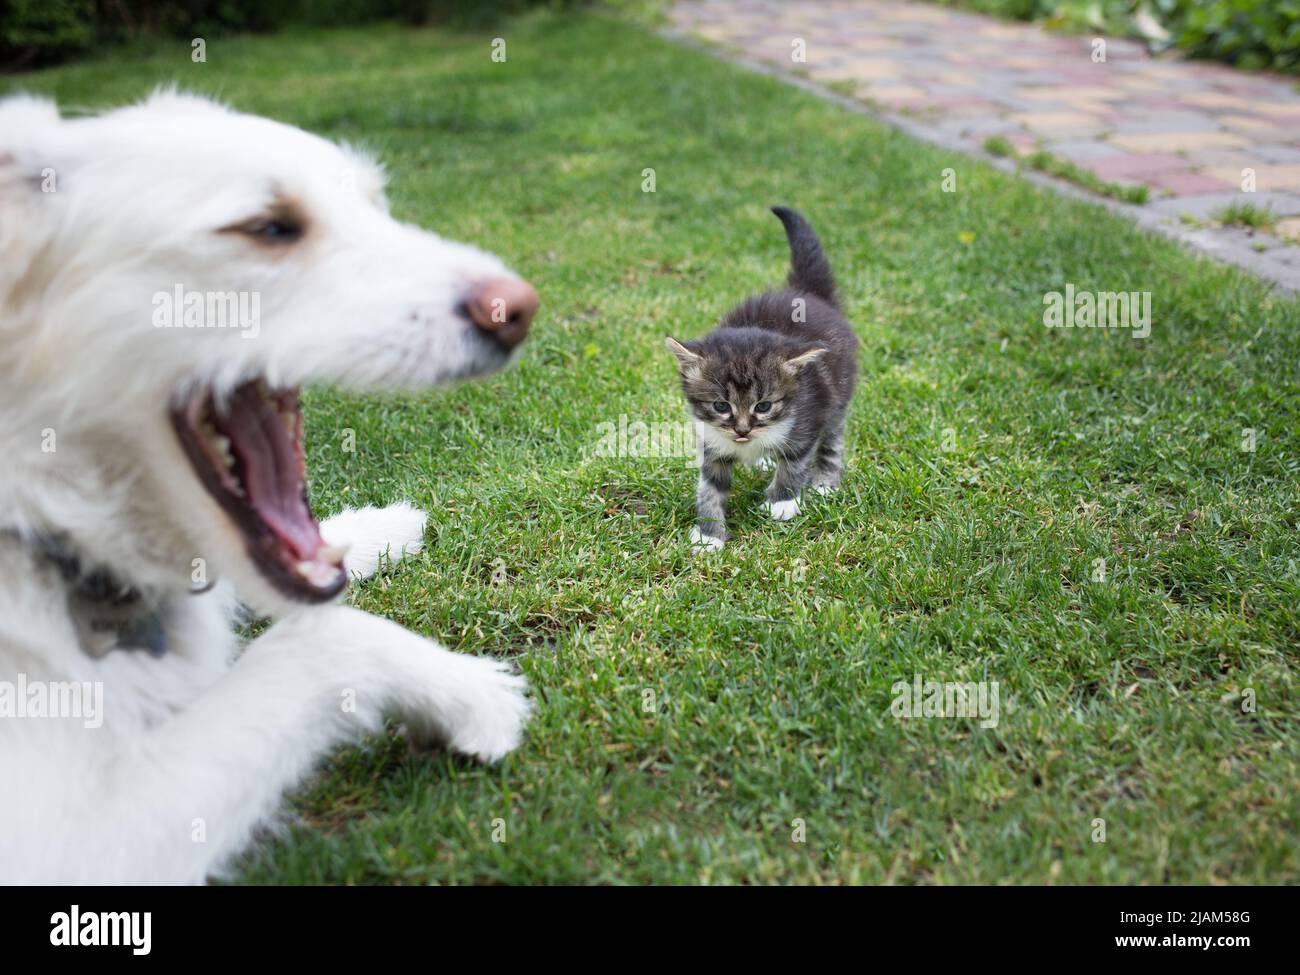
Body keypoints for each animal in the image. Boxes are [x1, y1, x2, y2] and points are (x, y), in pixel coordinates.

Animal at [0, 91, 538, 883]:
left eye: (373, 206)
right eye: (268, 227)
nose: (519, 308)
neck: (43, 515)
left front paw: (383, 527)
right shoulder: (72, 847)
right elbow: (324, 637)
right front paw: (472, 695)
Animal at [665, 205, 857, 551]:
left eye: (764, 406)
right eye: (721, 406)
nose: (743, 431)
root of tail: (805, 293)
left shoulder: (808, 417)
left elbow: (795, 462)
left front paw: (781, 502)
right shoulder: (710, 441)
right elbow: (710, 487)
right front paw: (709, 534)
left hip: (838, 394)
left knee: (832, 439)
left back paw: (825, 481)